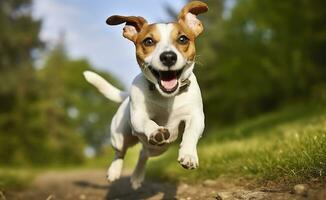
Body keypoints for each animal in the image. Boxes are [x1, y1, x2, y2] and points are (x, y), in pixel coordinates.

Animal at [83, 1, 208, 189]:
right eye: (148, 41)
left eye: (182, 39)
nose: (168, 57)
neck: (166, 97)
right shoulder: (138, 116)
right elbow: (148, 122)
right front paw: (155, 130)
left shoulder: (196, 116)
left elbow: (191, 133)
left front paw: (188, 154)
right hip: (120, 135)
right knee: (120, 152)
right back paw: (114, 171)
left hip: (160, 148)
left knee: (143, 153)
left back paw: (137, 176)